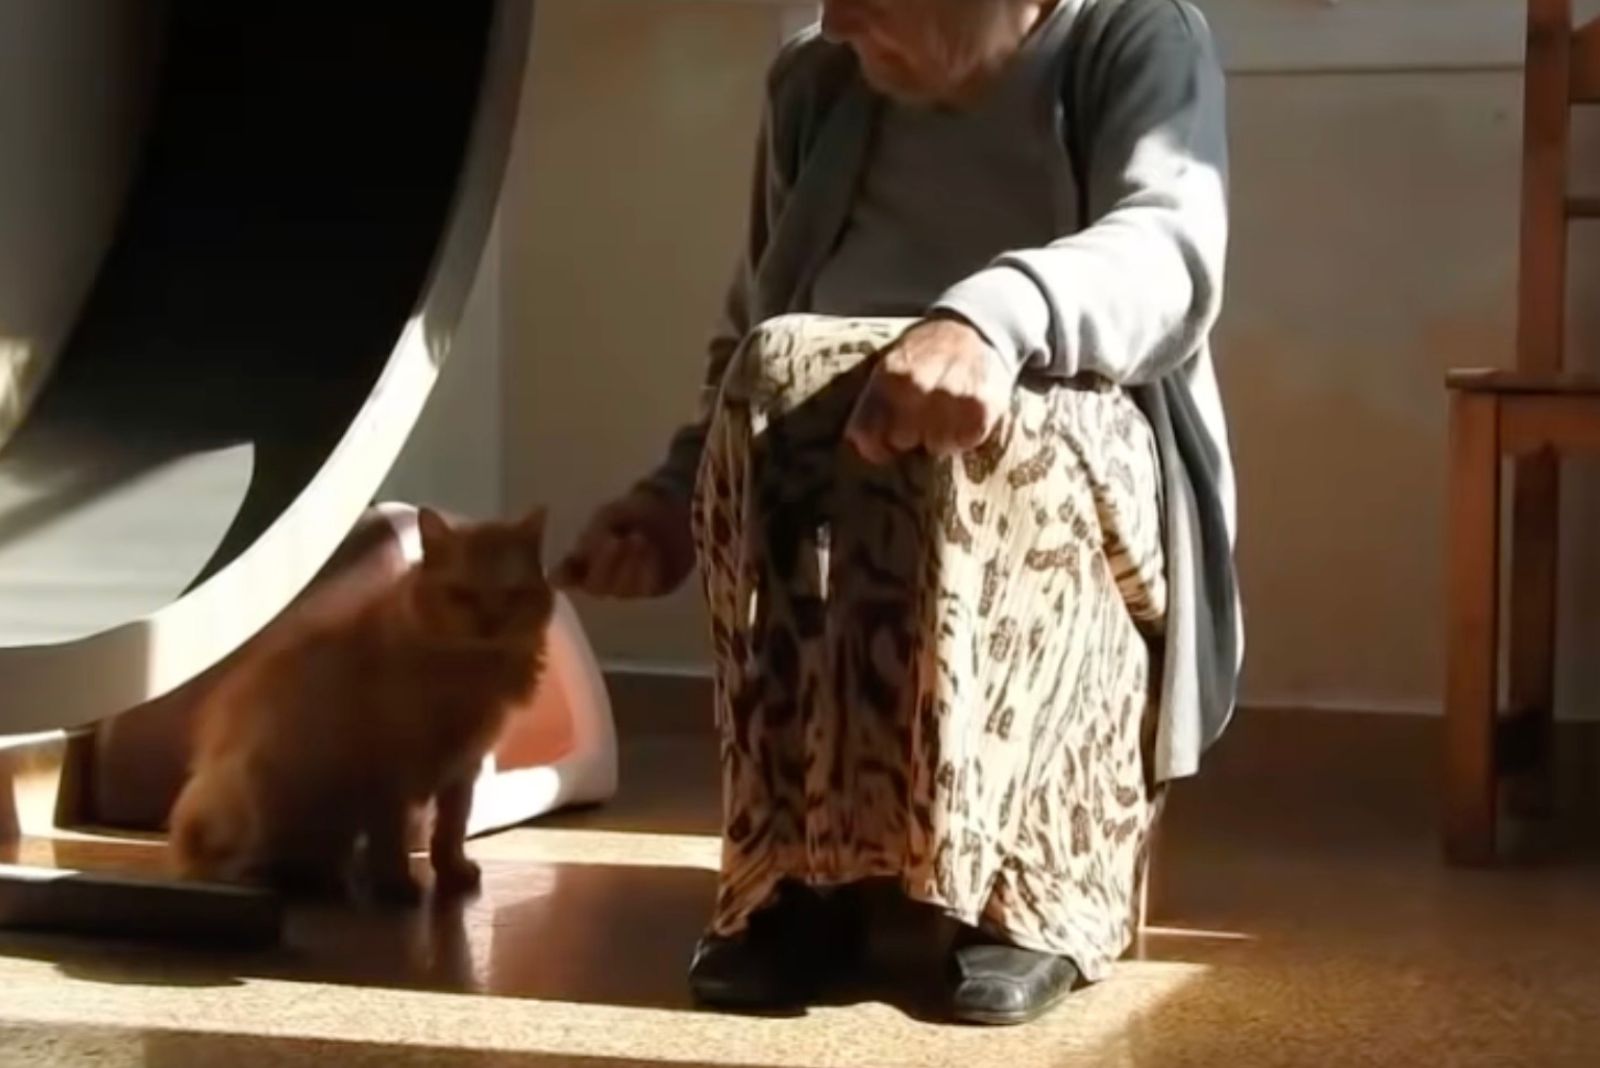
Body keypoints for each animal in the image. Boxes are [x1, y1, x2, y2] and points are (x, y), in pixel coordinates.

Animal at [168, 508, 556, 901]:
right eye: (461, 595)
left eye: (513, 595)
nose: (491, 623)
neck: (469, 669)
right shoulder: (385, 774)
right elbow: (390, 843)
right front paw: (398, 888)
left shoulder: (462, 768)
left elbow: (451, 830)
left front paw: (453, 872)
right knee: (236, 865)